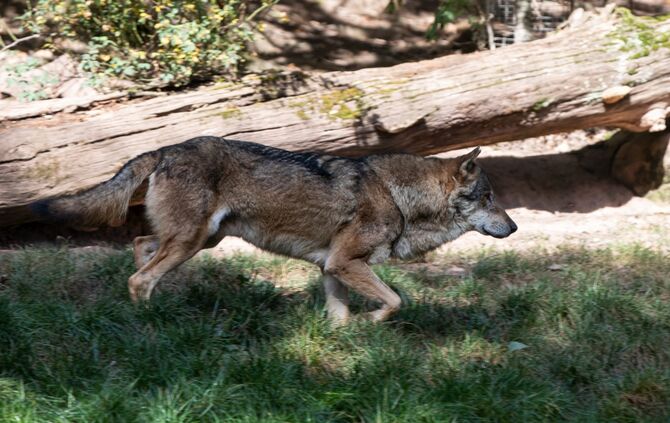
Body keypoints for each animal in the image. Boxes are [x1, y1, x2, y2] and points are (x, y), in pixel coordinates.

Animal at [34, 136, 517, 323]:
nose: (513, 227)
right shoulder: (346, 263)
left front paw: (349, 345)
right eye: (490, 198)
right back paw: (150, 322)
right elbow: (396, 301)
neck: (398, 195)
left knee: (139, 248)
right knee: (140, 277)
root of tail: (168, 148)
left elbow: (341, 317)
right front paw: (372, 322)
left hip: (201, 240)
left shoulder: (331, 267)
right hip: (192, 241)